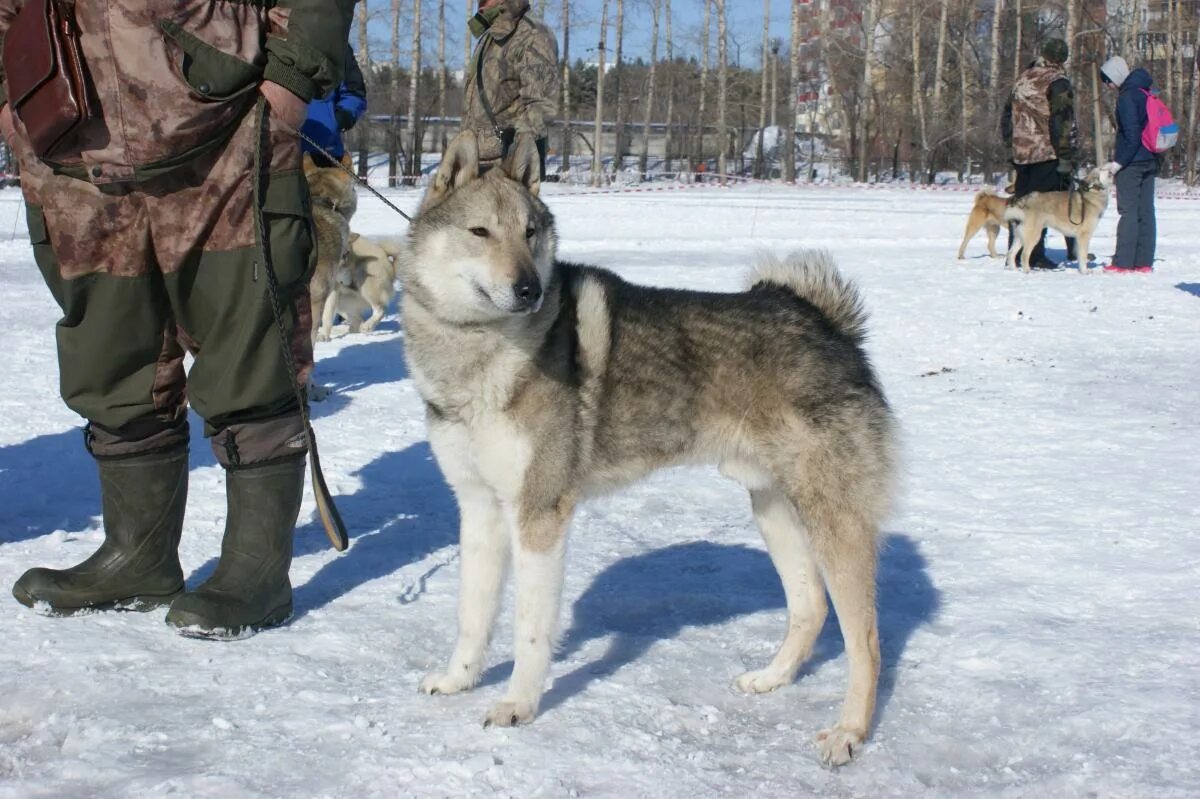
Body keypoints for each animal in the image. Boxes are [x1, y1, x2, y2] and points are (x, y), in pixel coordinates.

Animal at [398, 130, 897, 767]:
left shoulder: (540, 514)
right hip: (773, 507)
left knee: (867, 640)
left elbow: (530, 629)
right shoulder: (480, 507)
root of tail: (825, 321)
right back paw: (769, 679)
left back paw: (849, 732)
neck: (475, 349)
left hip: (833, 519)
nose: (530, 289)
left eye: (530, 232)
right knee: (810, 608)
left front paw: (518, 704)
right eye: (480, 232)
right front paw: (459, 679)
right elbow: (472, 614)